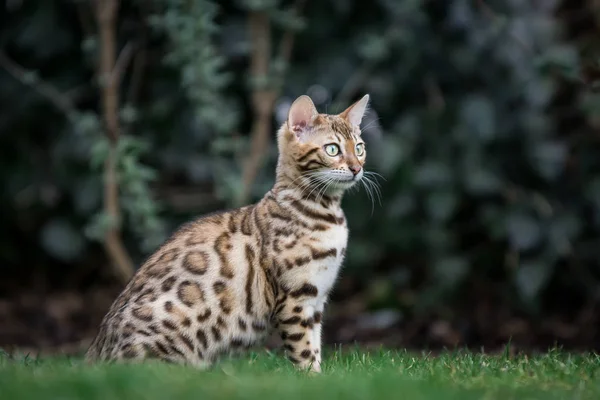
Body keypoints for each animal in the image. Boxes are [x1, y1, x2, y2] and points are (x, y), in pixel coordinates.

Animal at [86, 93, 372, 372]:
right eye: (332, 149)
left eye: (359, 148)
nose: (357, 168)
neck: (325, 213)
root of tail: (93, 355)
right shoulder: (295, 299)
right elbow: (303, 352)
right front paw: (310, 378)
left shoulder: (316, 300)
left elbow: (314, 347)